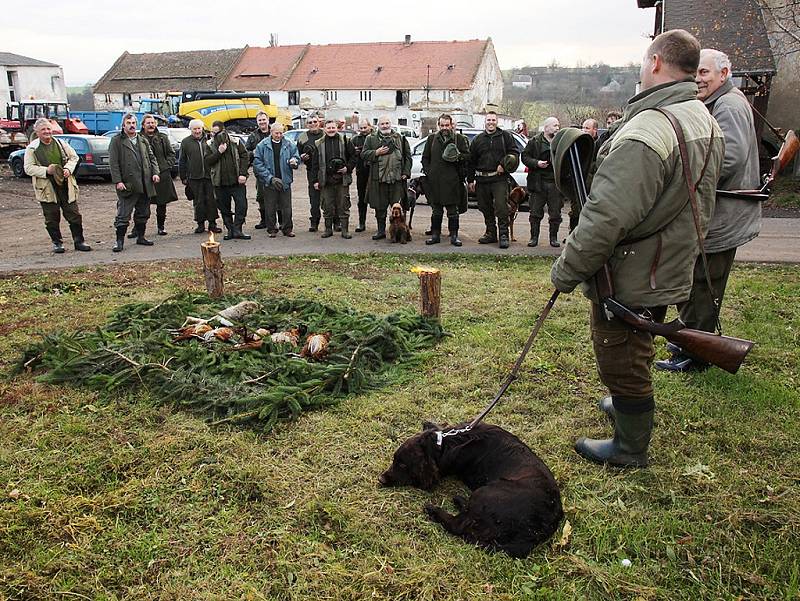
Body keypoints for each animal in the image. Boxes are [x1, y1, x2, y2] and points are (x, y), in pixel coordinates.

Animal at [380, 422, 564, 556]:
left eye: (403, 465)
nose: (380, 479)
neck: (445, 444)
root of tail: (538, 532)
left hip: (485, 493)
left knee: (458, 524)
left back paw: (434, 509)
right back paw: (459, 500)